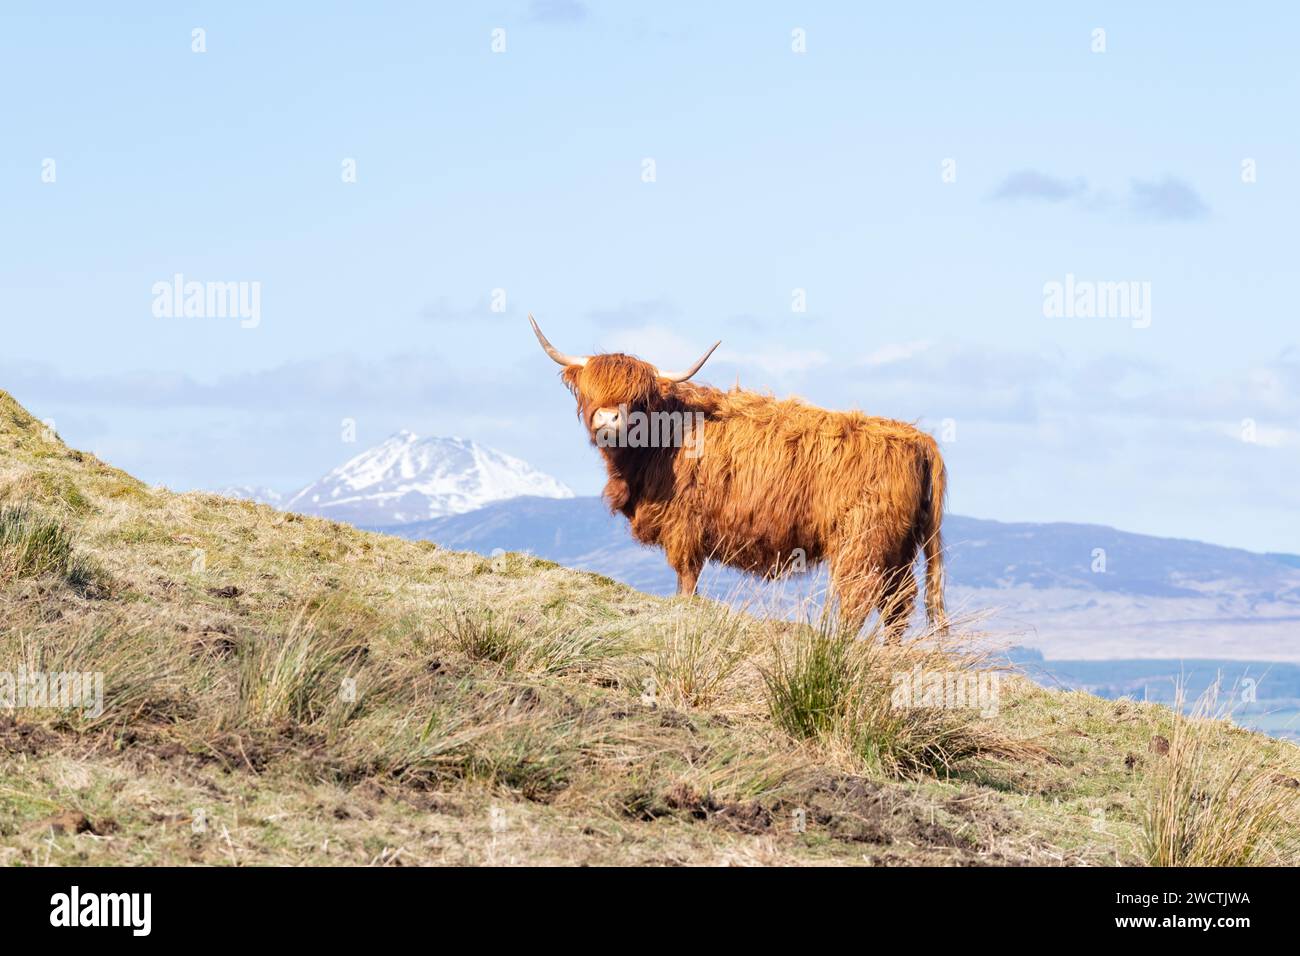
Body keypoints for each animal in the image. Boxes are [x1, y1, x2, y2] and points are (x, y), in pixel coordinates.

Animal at [527, 317, 946, 639]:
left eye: (638, 398)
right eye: (589, 390)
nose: (608, 419)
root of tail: (916, 438)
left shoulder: (684, 525)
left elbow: (686, 580)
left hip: (863, 542)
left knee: (860, 598)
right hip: (898, 547)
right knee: (899, 603)